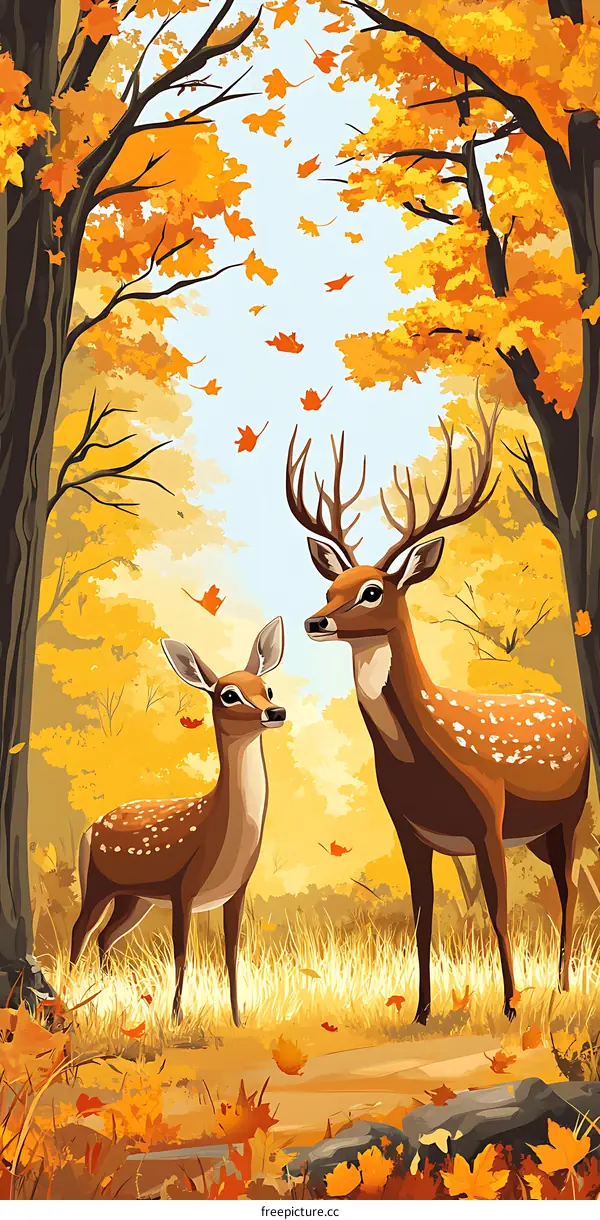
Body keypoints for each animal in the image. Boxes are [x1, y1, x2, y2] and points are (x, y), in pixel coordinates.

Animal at [70, 618, 285, 1025]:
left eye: (267, 688)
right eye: (229, 694)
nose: (276, 712)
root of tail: (88, 830)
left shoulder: (236, 891)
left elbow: (231, 955)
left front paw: (237, 1018)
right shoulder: (182, 888)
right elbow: (182, 954)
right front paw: (176, 1018)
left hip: (134, 898)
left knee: (106, 935)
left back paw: (104, 990)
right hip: (98, 882)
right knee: (80, 930)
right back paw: (70, 993)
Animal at [287, 395, 590, 1025]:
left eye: (373, 590)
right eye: (332, 587)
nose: (314, 620)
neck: (423, 760)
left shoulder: (490, 818)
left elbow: (498, 909)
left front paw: (510, 1006)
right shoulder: (409, 829)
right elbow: (422, 917)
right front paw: (422, 1010)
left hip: (572, 810)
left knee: (570, 886)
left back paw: (563, 985)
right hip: (540, 831)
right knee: (560, 884)